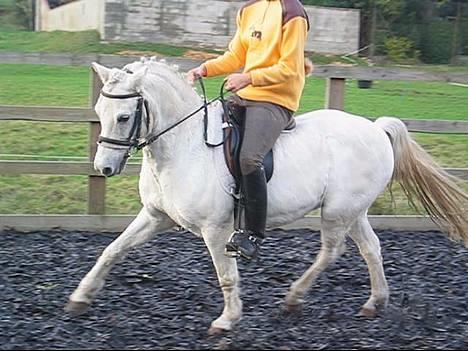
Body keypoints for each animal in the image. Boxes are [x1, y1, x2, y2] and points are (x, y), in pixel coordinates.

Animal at [66, 58, 468, 336]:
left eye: (123, 116)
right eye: (99, 112)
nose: (104, 167)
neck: (184, 146)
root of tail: (376, 128)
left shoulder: (216, 230)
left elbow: (226, 275)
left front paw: (227, 321)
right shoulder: (154, 216)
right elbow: (112, 250)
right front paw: (80, 298)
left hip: (337, 212)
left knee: (332, 251)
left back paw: (293, 299)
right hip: (354, 211)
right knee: (371, 248)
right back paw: (374, 302)